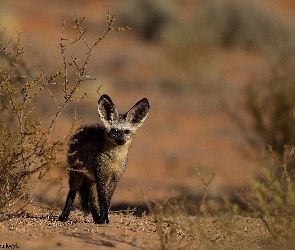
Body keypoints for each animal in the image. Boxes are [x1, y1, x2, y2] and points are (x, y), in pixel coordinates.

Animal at [58, 94, 150, 224]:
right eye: (115, 131)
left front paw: (103, 218)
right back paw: (64, 216)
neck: (113, 160)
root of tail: (82, 130)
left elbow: (107, 200)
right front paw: (104, 219)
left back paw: (96, 217)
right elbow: (102, 200)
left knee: (91, 200)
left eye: (126, 131)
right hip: (77, 176)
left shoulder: (114, 178)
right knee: (72, 193)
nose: (121, 141)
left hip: (90, 180)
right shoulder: (101, 177)